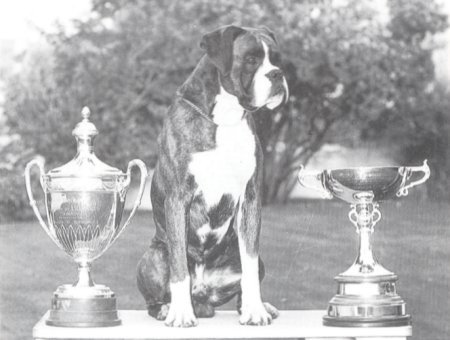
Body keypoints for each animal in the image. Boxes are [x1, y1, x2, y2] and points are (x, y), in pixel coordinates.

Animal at [137, 25, 288, 328]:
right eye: (251, 59)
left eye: (277, 59)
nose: (277, 74)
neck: (226, 119)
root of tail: (203, 297)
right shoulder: (178, 199)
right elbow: (179, 268)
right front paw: (180, 314)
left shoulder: (251, 199)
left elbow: (250, 264)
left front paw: (255, 311)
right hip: (153, 255)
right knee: (157, 295)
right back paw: (166, 308)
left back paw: (257, 306)